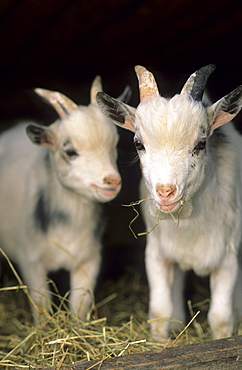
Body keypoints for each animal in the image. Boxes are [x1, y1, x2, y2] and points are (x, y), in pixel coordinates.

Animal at [0, 76, 127, 320]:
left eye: (116, 143)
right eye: (70, 151)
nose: (112, 181)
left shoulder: (88, 260)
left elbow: (79, 305)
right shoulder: (31, 262)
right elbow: (42, 305)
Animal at [96, 65, 242, 340]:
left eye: (201, 143)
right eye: (138, 144)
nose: (165, 192)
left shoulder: (227, 257)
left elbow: (220, 319)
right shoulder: (156, 254)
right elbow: (159, 311)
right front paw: (159, 340)